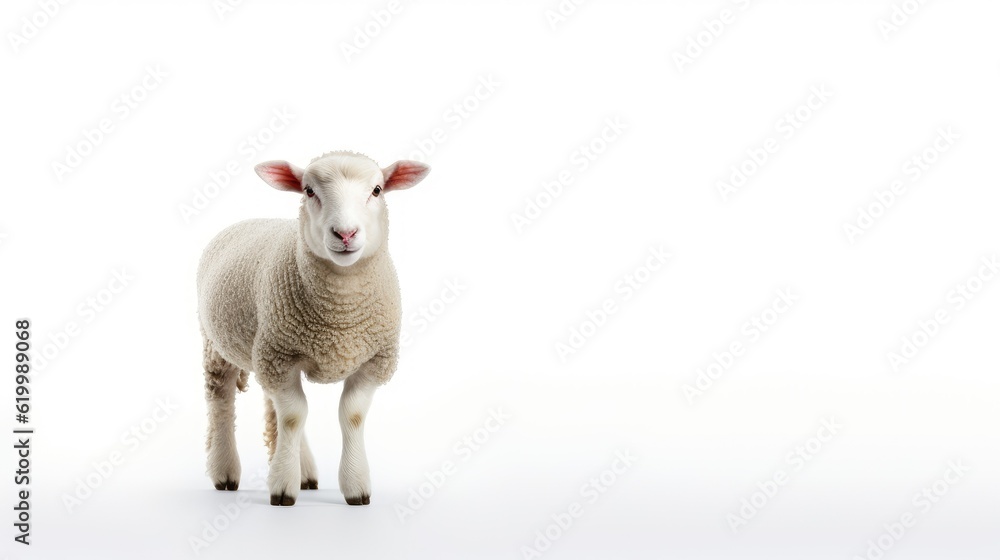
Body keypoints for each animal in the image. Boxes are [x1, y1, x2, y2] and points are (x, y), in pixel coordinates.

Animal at [197, 150, 429, 506]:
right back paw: (224, 471)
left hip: (265, 348)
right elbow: (294, 415)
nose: (345, 234)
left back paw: (303, 471)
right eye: (308, 191)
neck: (340, 315)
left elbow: (349, 415)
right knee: (221, 398)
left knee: (273, 406)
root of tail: (249, 219)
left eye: (377, 190)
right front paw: (282, 487)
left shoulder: (374, 359)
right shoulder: (281, 356)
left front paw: (356, 487)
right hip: (218, 343)